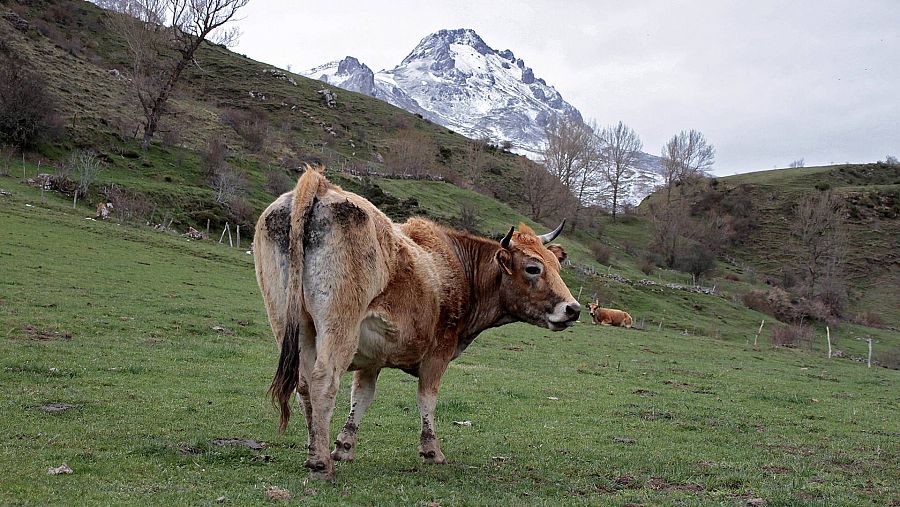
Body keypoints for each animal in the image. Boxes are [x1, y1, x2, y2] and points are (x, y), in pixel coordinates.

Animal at [253, 169, 580, 482]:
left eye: (557, 266)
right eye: (533, 268)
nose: (573, 309)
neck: (460, 267)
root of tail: (320, 186)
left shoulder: (372, 360)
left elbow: (361, 396)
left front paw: (344, 447)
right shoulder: (438, 352)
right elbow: (427, 398)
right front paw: (431, 450)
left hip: (291, 324)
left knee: (304, 385)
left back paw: (313, 451)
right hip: (339, 326)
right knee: (323, 380)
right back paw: (320, 464)